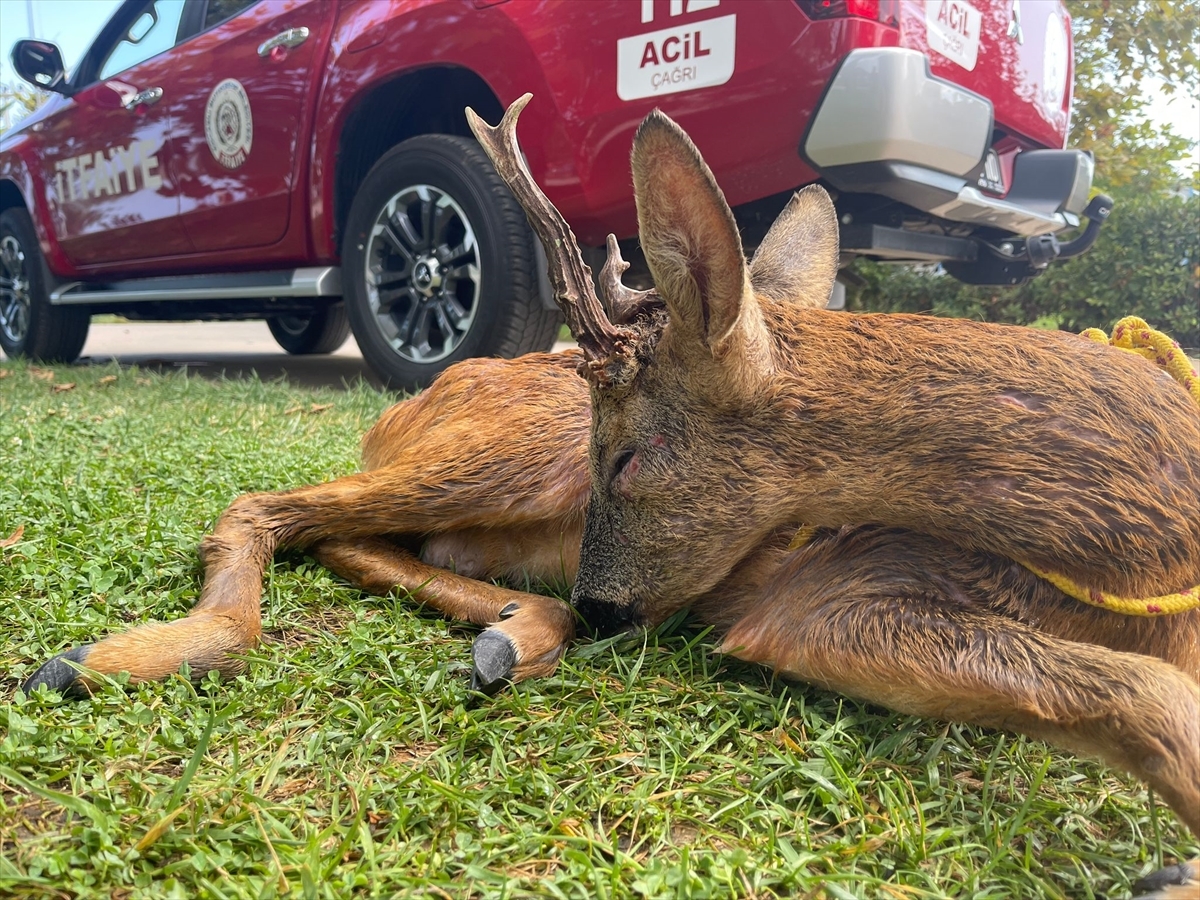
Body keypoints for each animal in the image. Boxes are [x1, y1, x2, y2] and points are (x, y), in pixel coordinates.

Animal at [21, 95, 1200, 897]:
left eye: (629, 458)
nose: (603, 601)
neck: (1152, 549)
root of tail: (419, 397)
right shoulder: (820, 597)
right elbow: (1147, 695)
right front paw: (1164, 871)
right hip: (502, 452)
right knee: (268, 503)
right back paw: (112, 658)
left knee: (357, 537)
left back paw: (514, 632)